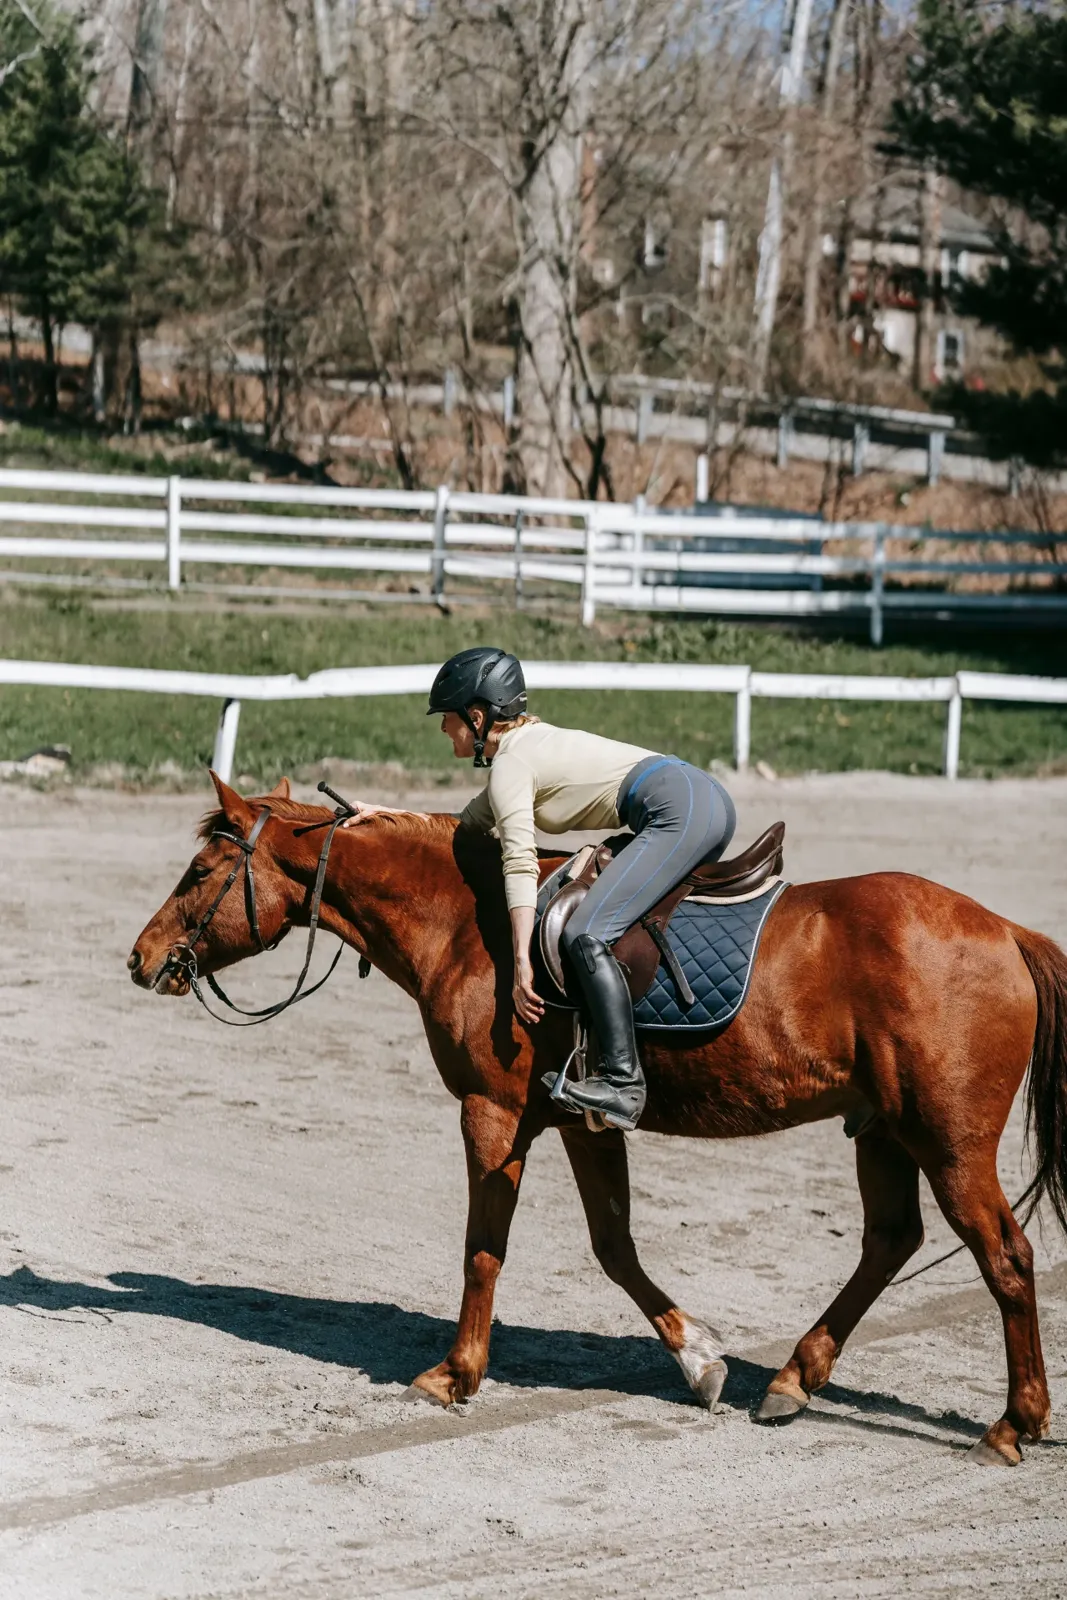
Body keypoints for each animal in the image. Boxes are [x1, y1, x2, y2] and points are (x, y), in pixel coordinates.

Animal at [128, 773, 1067, 1467]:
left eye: (200, 873)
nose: (139, 958)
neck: (468, 923)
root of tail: (1004, 930)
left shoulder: (493, 1114)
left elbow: (482, 1249)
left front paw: (454, 1374)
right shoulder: (581, 1123)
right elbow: (614, 1247)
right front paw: (698, 1360)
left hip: (949, 1143)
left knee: (1006, 1259)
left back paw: (1010, 1425)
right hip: (882, 1131)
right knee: (889, 1242)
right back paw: (793, 1380)